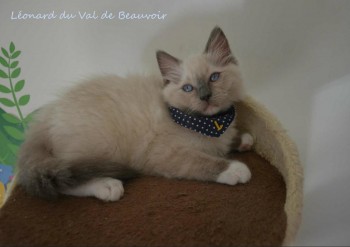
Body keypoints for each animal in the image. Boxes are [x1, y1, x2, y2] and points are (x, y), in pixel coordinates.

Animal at [16, 26, 253, 201]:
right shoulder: (167, 155)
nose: (205, 96)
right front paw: (235, 169)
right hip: (103, 147)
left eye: (214, 77)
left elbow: (230, 140)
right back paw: (107, 186)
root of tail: (45, 118)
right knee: (64, 180)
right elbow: (205, 162)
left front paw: (244, 139)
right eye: (188, 88)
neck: (211, 123)